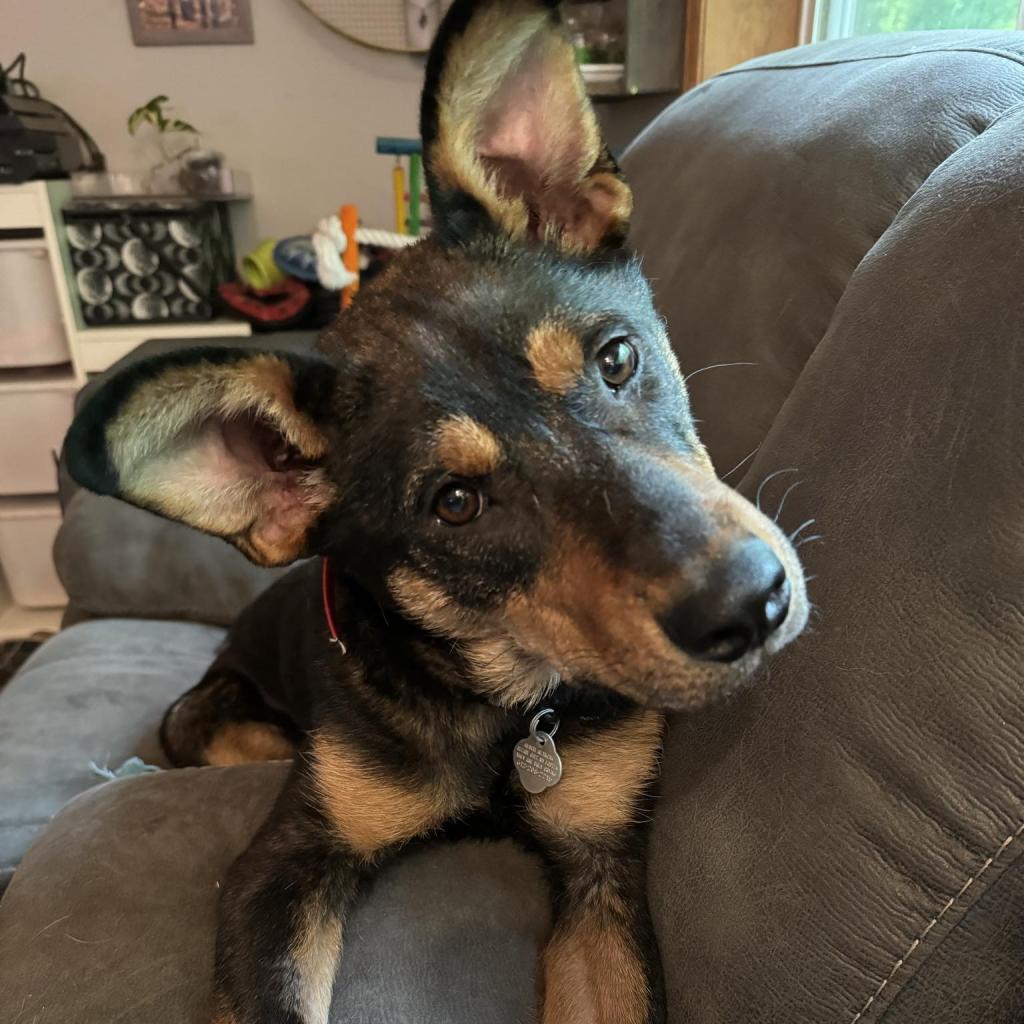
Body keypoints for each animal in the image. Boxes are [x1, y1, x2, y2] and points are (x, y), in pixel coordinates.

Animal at [66, 4, 806, 1019]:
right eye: (455, 505)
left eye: (617, 358)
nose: (753, 603)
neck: (502, 708)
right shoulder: (280, 868)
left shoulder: (601, 859)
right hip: (199, 714)